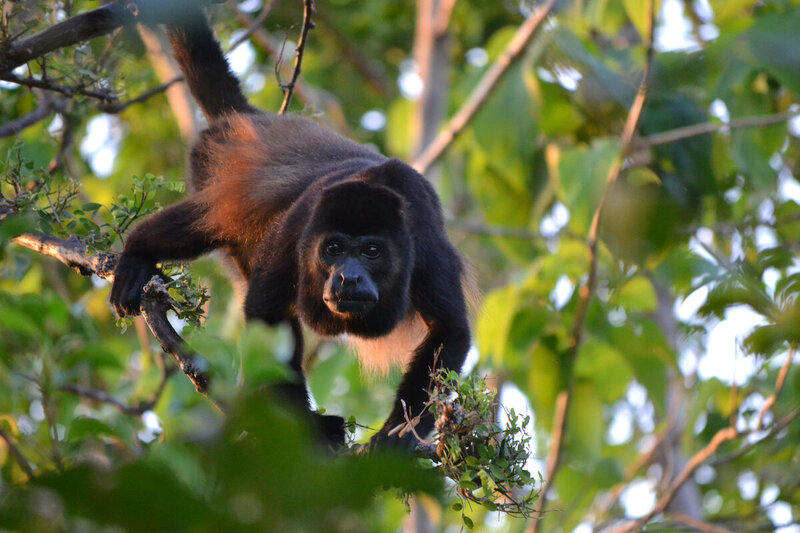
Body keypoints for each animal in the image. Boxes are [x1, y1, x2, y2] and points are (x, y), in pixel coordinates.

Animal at [111, 6, 472, 450]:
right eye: (334, 249)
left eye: (372, 251)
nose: (348, 278)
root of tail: (255, 118)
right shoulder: (300, 228)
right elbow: (267, 313)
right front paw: (309, 430)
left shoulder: (425, 241)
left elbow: (449, 330)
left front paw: (396, 436)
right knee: (204, 221)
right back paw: (136, 255)